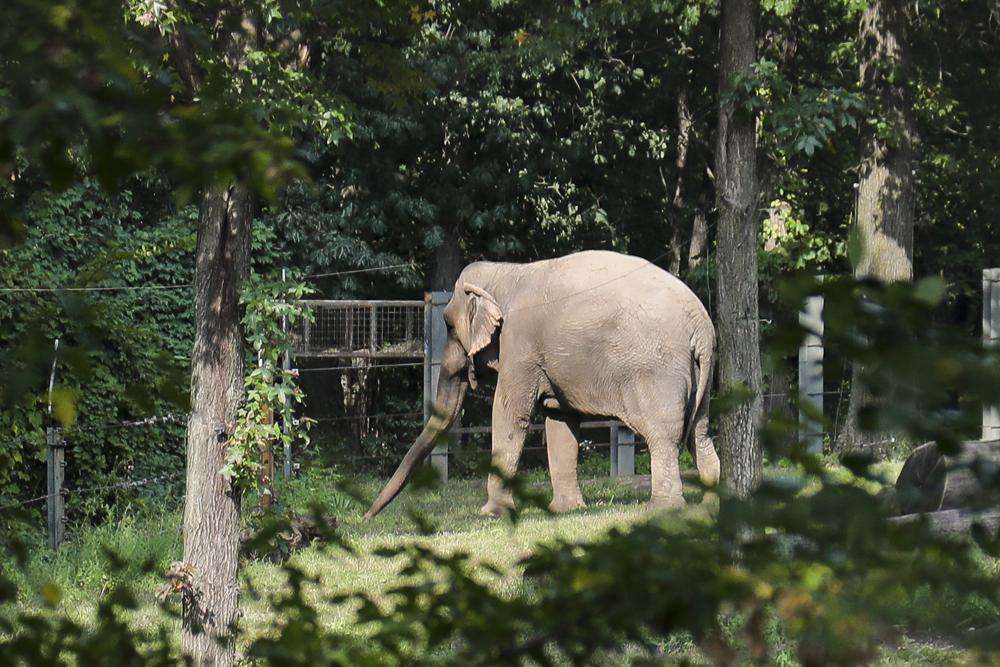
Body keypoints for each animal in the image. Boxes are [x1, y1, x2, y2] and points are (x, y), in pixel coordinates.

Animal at [364, 250, 719, 519]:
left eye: (448, 325)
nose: (368, 517)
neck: (507, 272)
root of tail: (701, 325)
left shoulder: (519, 345)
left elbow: (509, 415)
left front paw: (492, 513)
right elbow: (560, 423)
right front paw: (566, 510)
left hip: (657, 372)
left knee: (664, 436)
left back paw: (663, 509)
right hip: (699, 374)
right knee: (699, 433)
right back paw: (712, 502)